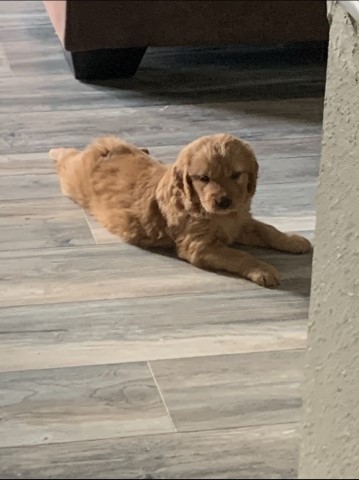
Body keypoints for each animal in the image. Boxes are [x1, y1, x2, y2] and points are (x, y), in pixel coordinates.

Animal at [50, 133, 312, 286]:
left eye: (236, 175)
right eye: (204, 178)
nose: (223, 201)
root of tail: (104, 151)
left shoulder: (241, 222)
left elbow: (268, 230)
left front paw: (293, 240)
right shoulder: (199, 246)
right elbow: (240, 255)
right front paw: (262, 269)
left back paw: (144, 149)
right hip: (73, 177)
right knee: (67, 158)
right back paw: (55, 150)